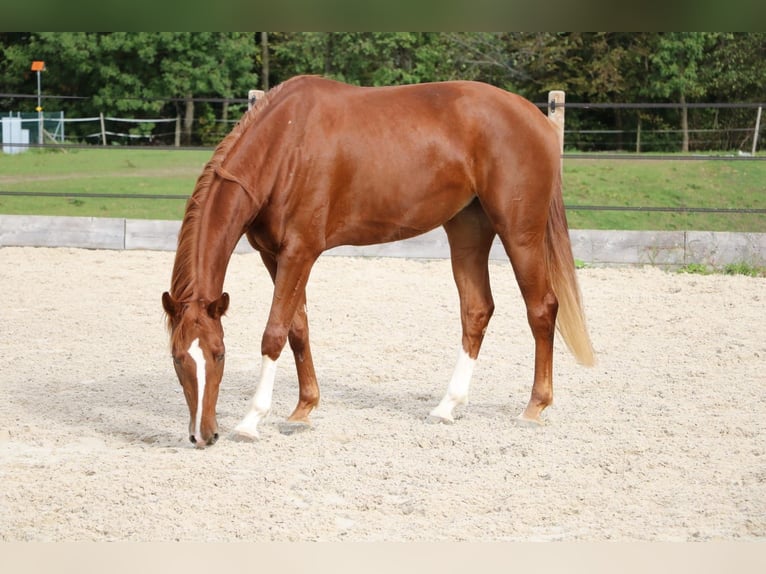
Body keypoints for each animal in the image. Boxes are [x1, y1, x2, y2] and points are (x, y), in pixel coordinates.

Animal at [162, 75, 595, 448]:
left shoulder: (300, 252)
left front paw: (252, 420)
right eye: (178, 358)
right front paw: (303, 410)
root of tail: (537, 120)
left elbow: (274, 332)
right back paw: (447, 406)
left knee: (542, 309)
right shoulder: (274, 255)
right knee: (476, 311)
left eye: (219, 354)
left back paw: (534, 407)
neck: (284, 146)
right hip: (468, 230)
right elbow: (297, 327)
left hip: (519, 233)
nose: (203, 435)